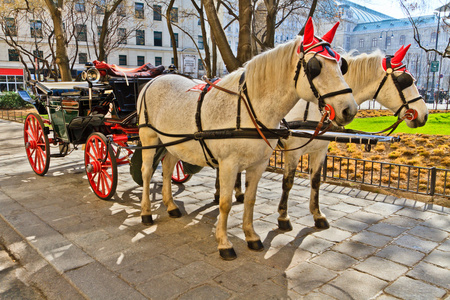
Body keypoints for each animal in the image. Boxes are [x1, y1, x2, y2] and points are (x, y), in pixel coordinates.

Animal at [135, 17, 356, 260]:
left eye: (342, 66)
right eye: (315, 66)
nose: (349, 109)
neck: (251, 109)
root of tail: (155, 79)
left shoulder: (259, 164)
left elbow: (250, 199)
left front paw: (251, 236)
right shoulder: (228, 164)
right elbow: (225, 203)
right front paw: (224, 243)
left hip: (174, 143)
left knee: (166, 169)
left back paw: (171, 205)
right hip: (149, 137)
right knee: (147, 172)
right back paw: (146, 212)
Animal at [274, 43, 428, 230]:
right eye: (404, 80)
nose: (424, 114)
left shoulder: (320, 149)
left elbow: (316, 181)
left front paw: (317, 215)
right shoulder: (293, 150)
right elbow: (288, 182)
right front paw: (283, 216)